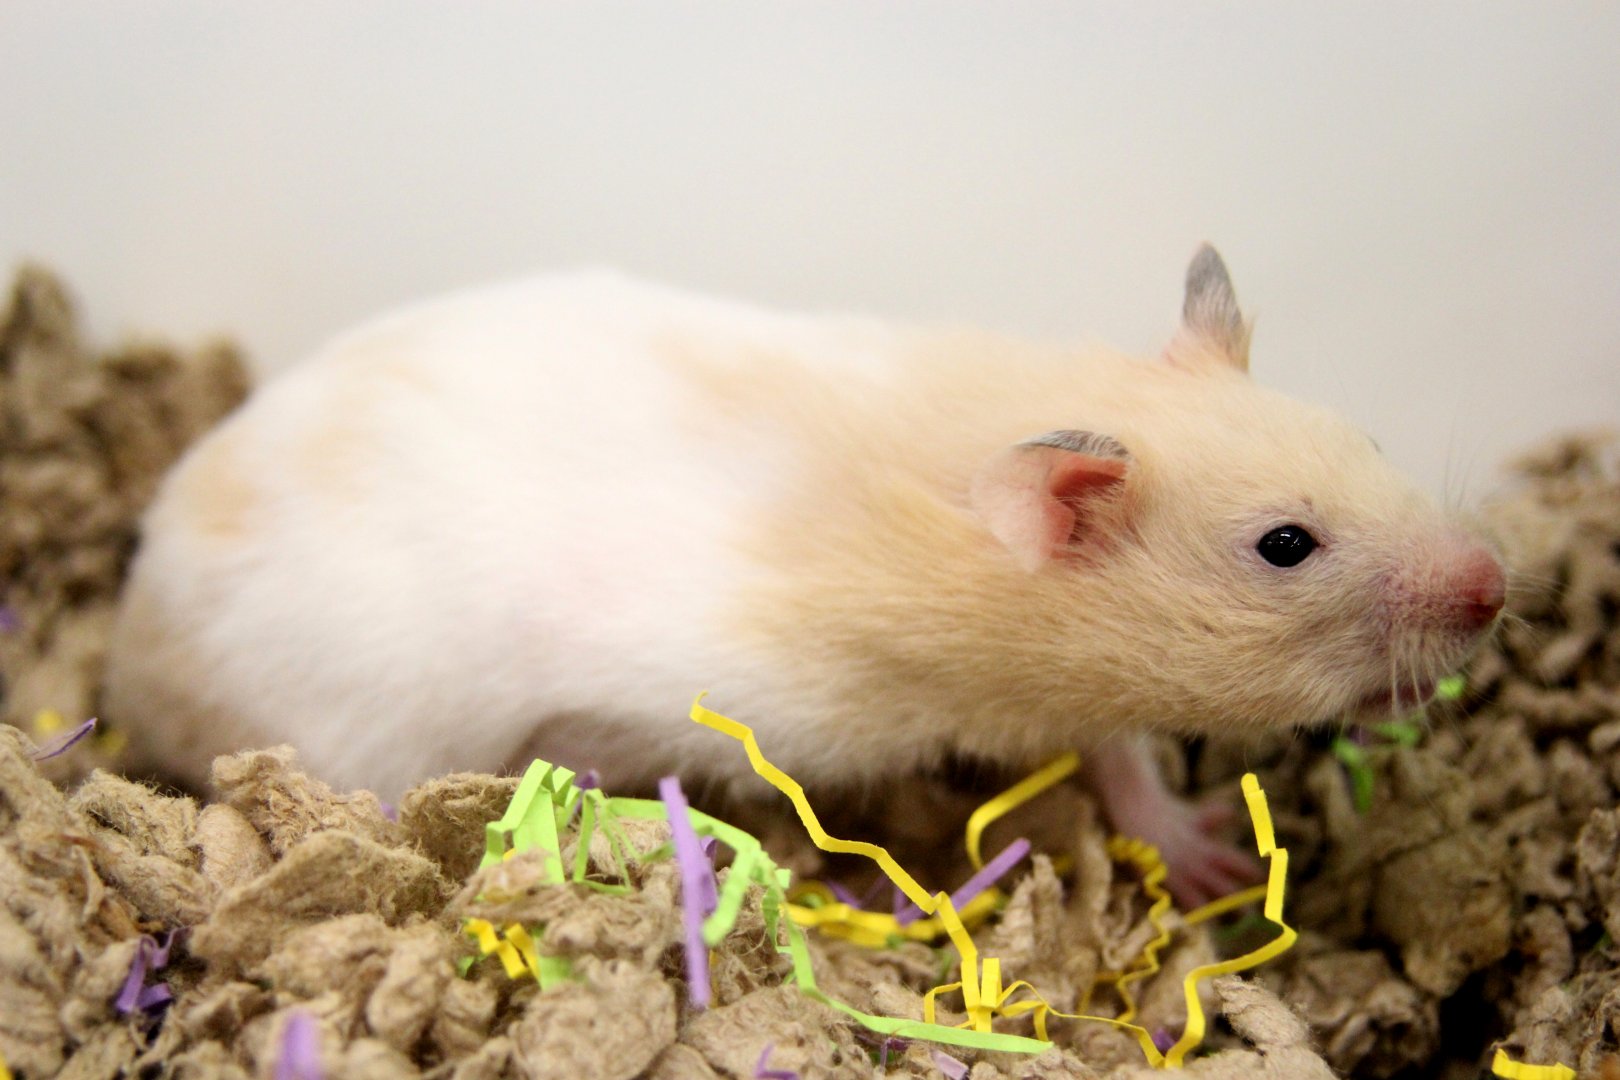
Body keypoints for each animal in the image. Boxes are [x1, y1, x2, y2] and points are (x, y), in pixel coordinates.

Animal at [103, 247, 1505, 905]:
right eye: (1285, 547)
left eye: (1372, 440)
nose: (1500, 586)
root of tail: (127, 641)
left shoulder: (1080, 698)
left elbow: (1123, 761)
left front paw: (1207, 856)